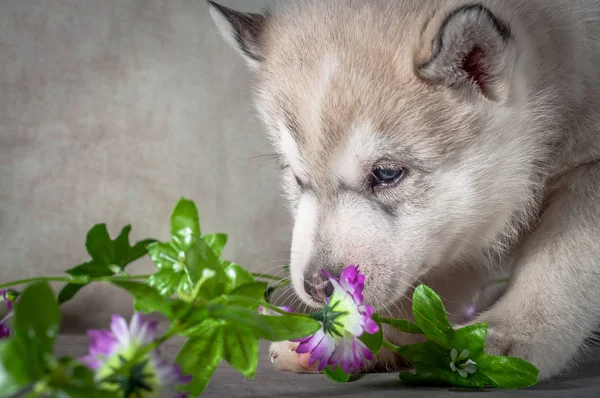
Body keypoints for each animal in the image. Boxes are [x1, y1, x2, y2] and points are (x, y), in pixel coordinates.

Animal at [209, 0, 600, 380]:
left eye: (386, 174)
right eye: (297, 178)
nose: (319, 287)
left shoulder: (588, 175)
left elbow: (561, 265)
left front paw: (505, 335)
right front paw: (353, 336)